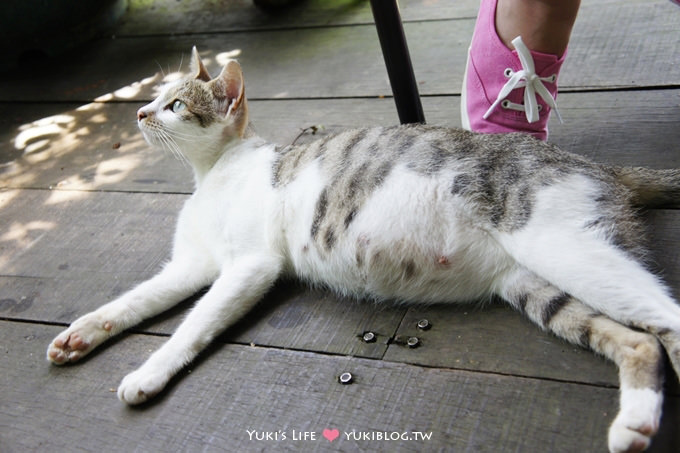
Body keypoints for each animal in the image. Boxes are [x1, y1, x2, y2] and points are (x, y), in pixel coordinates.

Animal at [47, 47, 680, 450]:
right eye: (156, 96)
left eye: (176, 105)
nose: (139, 110)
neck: (215, 171)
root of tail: (602, 167)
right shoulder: (189, 265)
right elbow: (133, 301)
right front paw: (81, 333)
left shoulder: (249, 266)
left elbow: (189, 328)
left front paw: (148, 374)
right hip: (535, 283)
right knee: (642, 343)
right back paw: (634, 428)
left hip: (562, 248)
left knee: (667, 320)